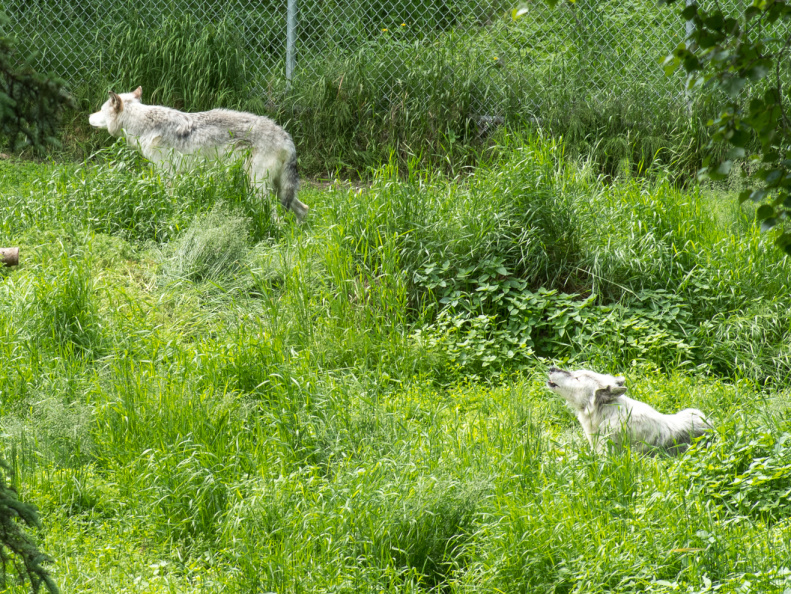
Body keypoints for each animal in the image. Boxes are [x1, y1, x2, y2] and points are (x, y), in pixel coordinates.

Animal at [89, 87, 308, 219]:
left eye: (100, 110)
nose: (89, 116)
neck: (145, 126)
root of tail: (286, 137)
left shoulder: (169, 176)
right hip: (278, 190)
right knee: (303, 210)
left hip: (258, 188)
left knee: (277, 216)